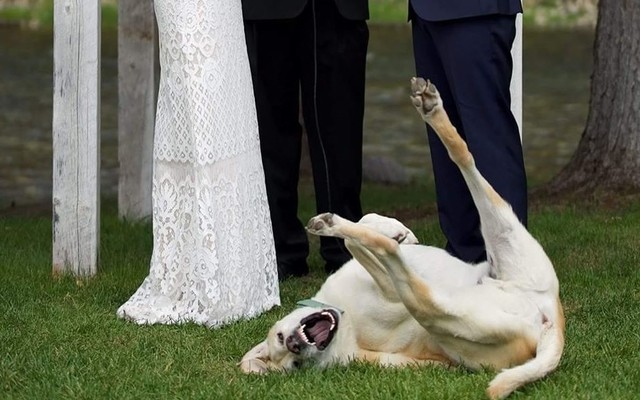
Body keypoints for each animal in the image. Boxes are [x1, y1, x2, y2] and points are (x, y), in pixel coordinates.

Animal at [241, 77, 564, 396]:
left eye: (280, 338)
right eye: (295, 365)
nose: (295, 344)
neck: (346, 319)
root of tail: (549, 322)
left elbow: (360, 235)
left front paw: (397, 231)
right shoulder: (390, 296)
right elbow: (372, 250)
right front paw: (383, 234)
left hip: (508, 238)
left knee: (463, 156)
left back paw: (430, 108)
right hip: (452, 309)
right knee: (409, 279)